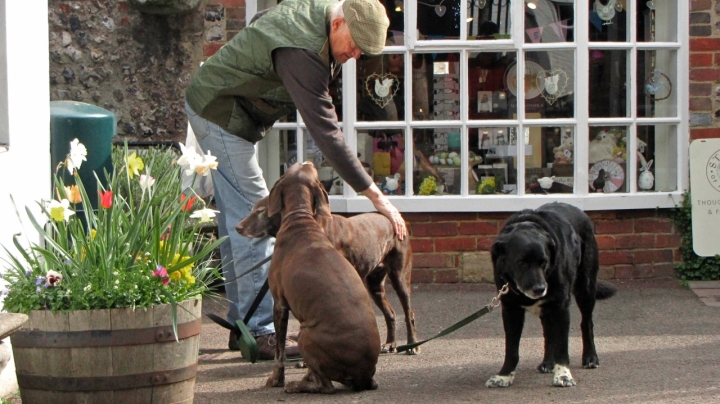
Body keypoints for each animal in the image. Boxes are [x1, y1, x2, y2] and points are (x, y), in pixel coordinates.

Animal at [238, 179, 416, 354]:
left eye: (261, 211)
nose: (238, 227)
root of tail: (396, 220)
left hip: (400, 278)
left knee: (409, 313)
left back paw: (412, 345)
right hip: (374, 286)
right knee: (391, 313)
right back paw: (390, 343)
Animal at [262, 163, 376, 392]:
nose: (309, 161)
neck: (300, 218)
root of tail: (364, 375)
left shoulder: (279, 304)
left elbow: (279, 353)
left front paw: (276, 380)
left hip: (305, 335)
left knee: (326, 386)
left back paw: (296, 386)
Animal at [486, 204, 616, 386]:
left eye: (544, 262)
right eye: (521, 262)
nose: (540, 289)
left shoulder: (561, 306)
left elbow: (562, 345)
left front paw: (563, 375)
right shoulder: (511, 309)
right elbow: (511, 348)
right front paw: (504, 375)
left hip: (586, 288)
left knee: (586, 323)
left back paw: (590, 357)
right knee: (548, 332)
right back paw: (548, 363)